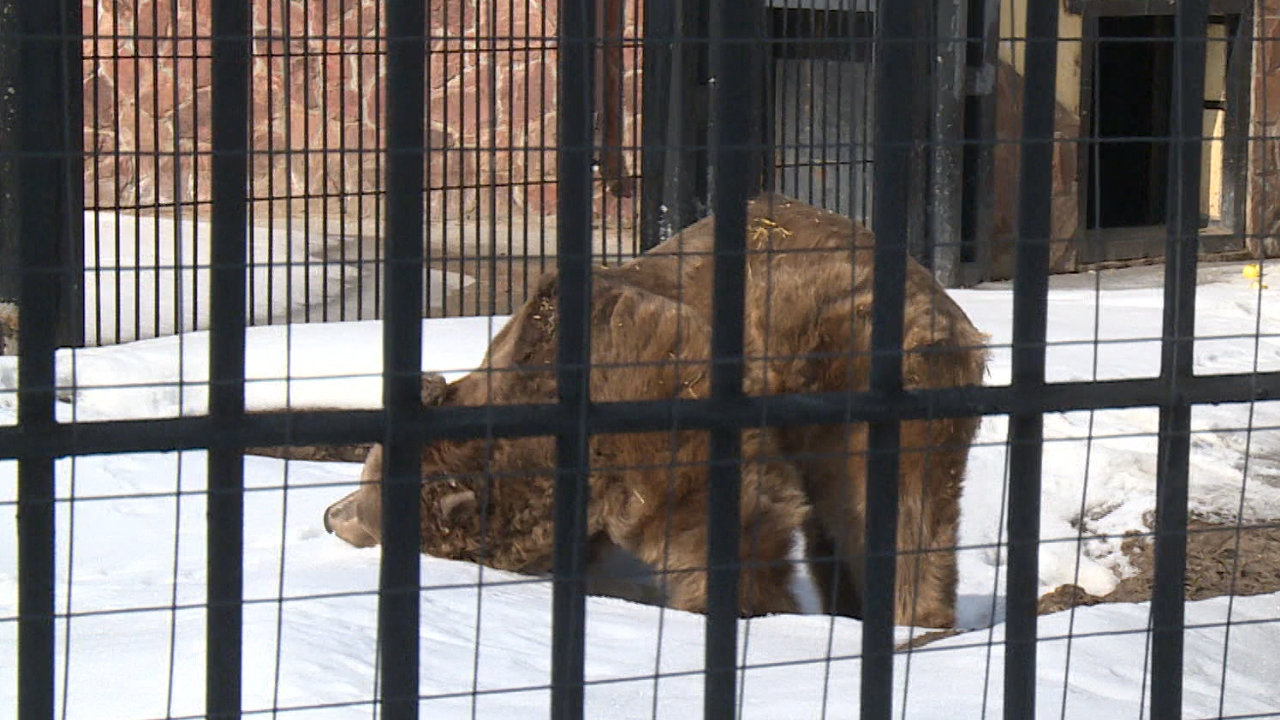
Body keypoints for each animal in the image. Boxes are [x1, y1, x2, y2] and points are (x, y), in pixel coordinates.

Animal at [325, 193, 983, 625]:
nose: (331, 515)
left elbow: (714, 510)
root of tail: (941, 300)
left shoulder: (647, 374)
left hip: (858, 360)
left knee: (893, 504)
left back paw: (914, 617)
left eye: (365, 498)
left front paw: (740, 608)